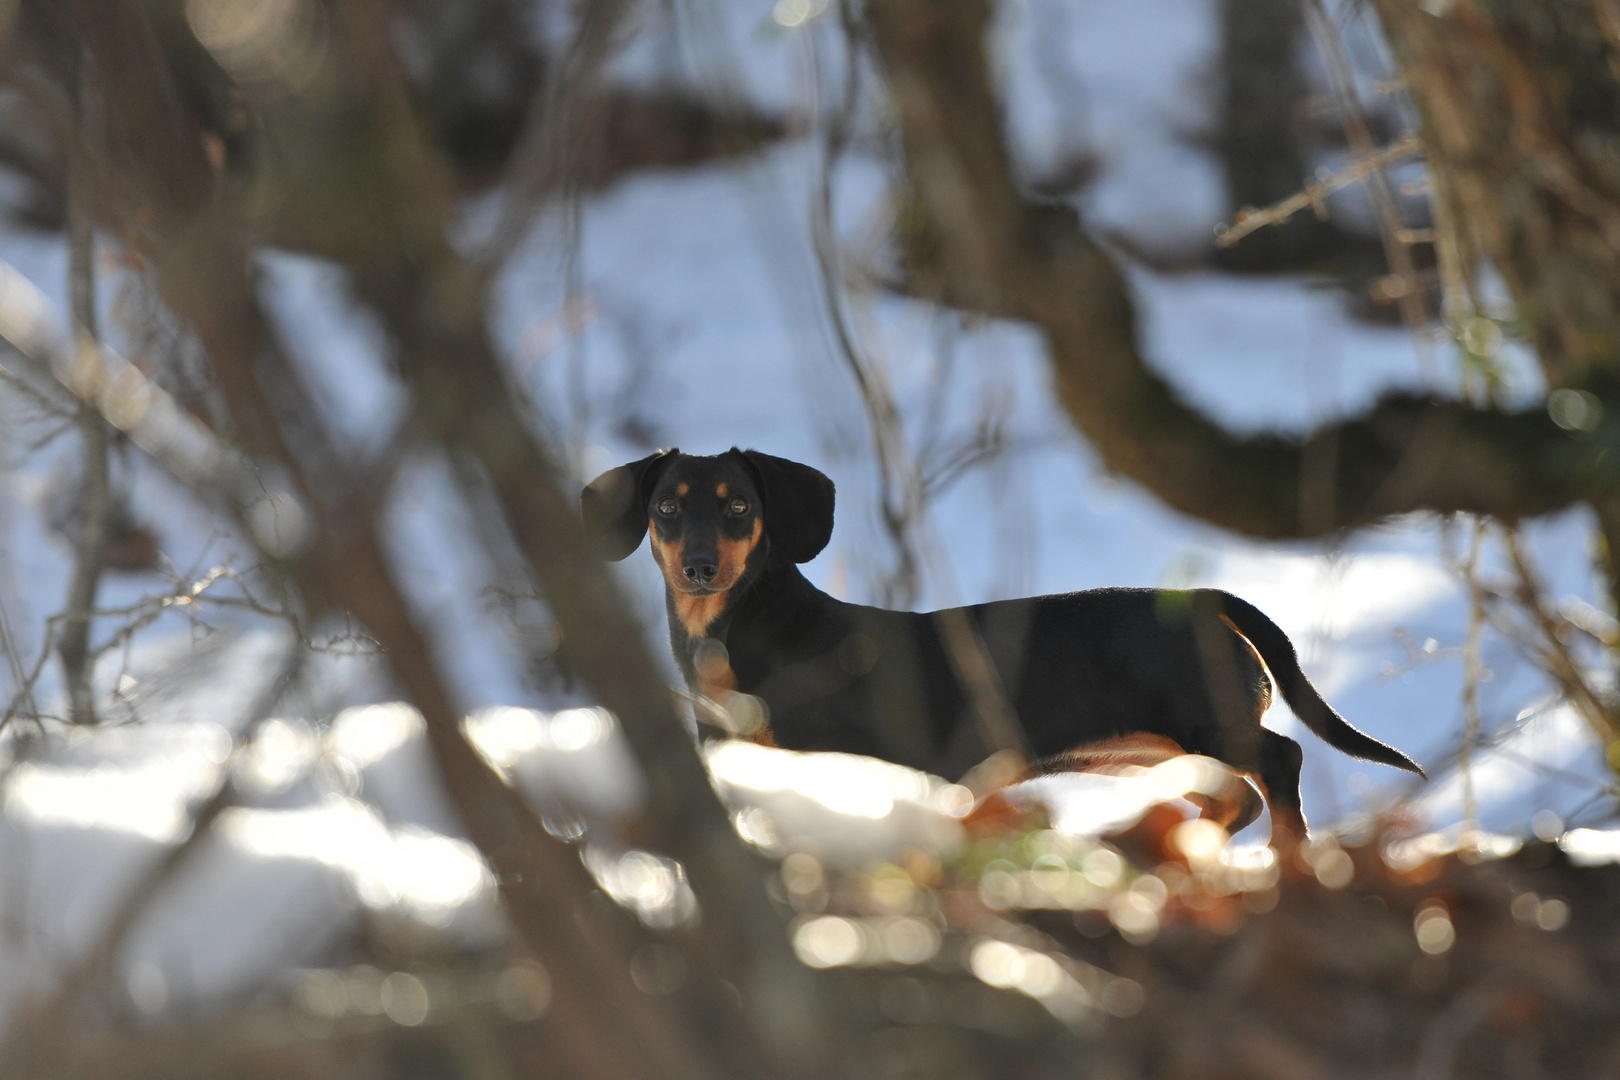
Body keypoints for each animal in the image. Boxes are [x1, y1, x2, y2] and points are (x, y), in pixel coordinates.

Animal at [583, 446, 1419, 841]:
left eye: (738, 507)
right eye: (665, 507)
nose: (699, 567)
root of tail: (1210, 602)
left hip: (1207, 721)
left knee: (1281, 763)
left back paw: (1291, 860)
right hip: (1155, 748)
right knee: (1234, 795)